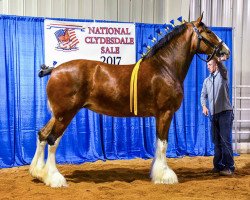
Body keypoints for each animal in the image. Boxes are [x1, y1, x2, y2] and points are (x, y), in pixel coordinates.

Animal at [29, 14, 230, 188]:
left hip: (57, 115)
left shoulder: (159, 115)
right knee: (52, 139)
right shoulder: (165, 112)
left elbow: (158, 143)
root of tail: (55, 70)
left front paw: (156, 173)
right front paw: (165, 176)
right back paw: (55, 178)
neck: (164, 67)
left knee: (42, 135)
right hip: (65, 114)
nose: (226, 51)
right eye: (208, 31)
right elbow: (163, 144)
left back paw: (38, 172)